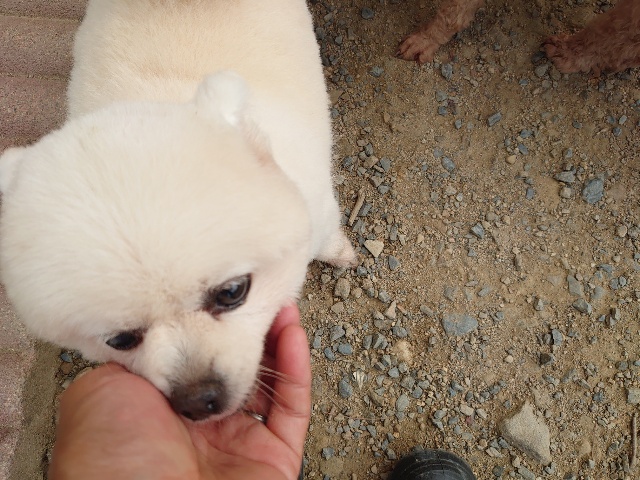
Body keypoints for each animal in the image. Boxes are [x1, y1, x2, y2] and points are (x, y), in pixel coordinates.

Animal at [0, 0, 356, 422]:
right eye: (121, 339)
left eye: (232, 292)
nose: (198, 399)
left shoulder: (320, 204)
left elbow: (327, 236)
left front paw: (340, 253)